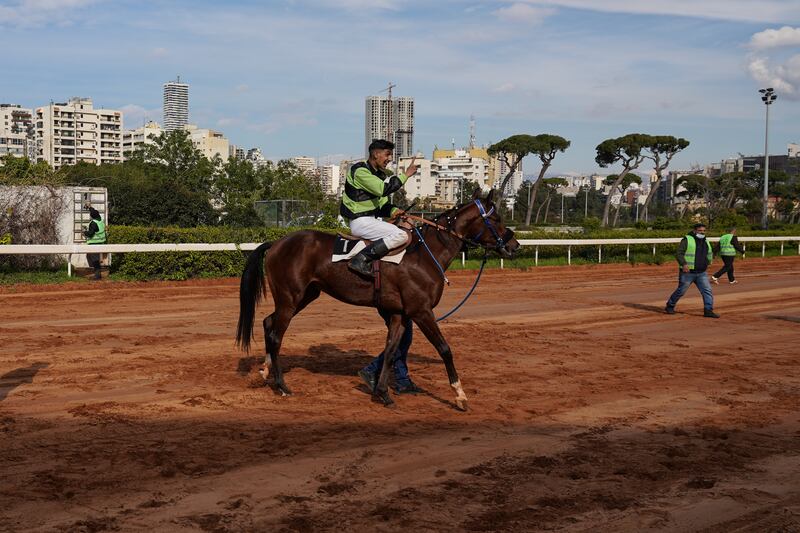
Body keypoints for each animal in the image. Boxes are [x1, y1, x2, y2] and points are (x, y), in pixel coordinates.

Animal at [234, 189, 520, 410]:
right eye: (496, 218)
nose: (514, 245)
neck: (425, 255)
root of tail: (276, 243)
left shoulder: (399, 314)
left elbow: (392, 349)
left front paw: (382, 392)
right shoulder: (421, 312)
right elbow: (444, 349)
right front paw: (460, 395)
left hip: (304, 296)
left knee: (268, 322)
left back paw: (266, 371)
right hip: (290, 298)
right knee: (275, 335)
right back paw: (282, 386)